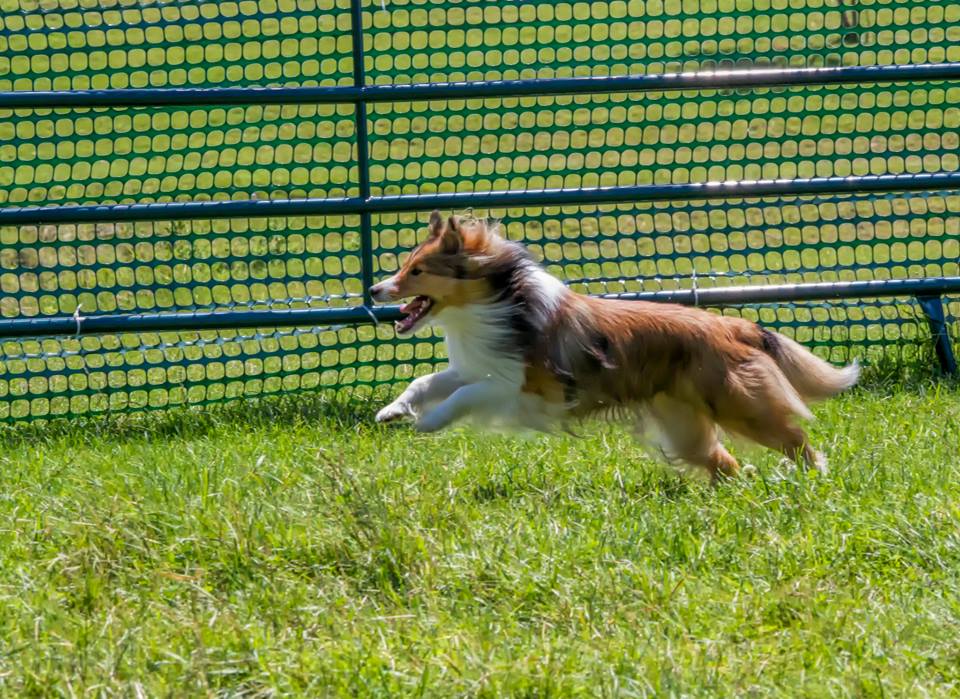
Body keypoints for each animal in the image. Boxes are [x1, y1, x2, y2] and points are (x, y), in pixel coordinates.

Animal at [369, 212, 859, 482]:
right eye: (405, 266)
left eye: (416, 271)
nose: (374, 290)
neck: (498, 300)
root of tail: (736, 327)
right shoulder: (478, 365)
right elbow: (426, 380)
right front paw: (393, 411)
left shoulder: (525, 388)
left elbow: (464, 396)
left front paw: (428, 423)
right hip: (685, 428)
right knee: (726, 463)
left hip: (739, 405)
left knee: (796, 439)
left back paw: (813, 478)